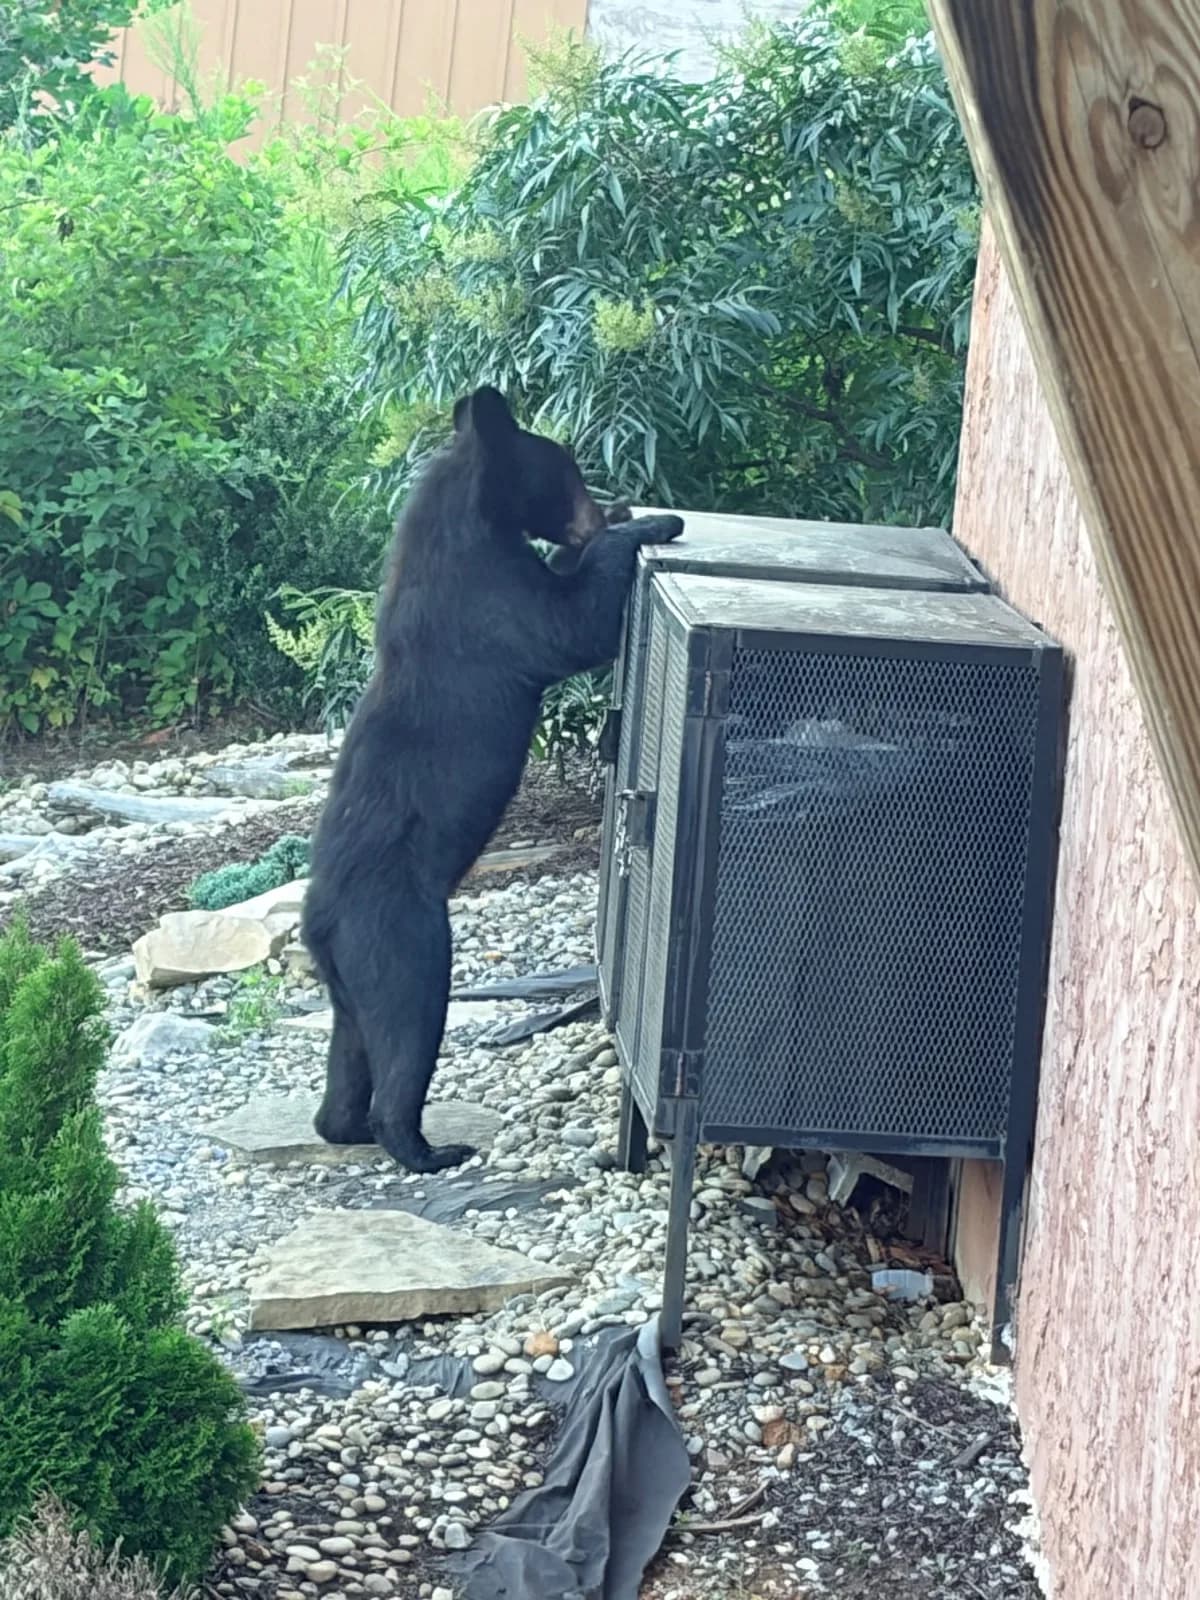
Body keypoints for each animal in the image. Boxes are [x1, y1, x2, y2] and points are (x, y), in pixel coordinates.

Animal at [301, 385, 683, 1174]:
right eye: (565, 467)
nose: (596, 507)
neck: (459, 524)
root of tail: (317, 921)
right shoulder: (490, 602)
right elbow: (572, 622)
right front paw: (648, 521)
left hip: (347, 981)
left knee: (350, 1047)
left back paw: (343, 1127)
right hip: (399, 937)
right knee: (408, 1025)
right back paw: (425, 1148)